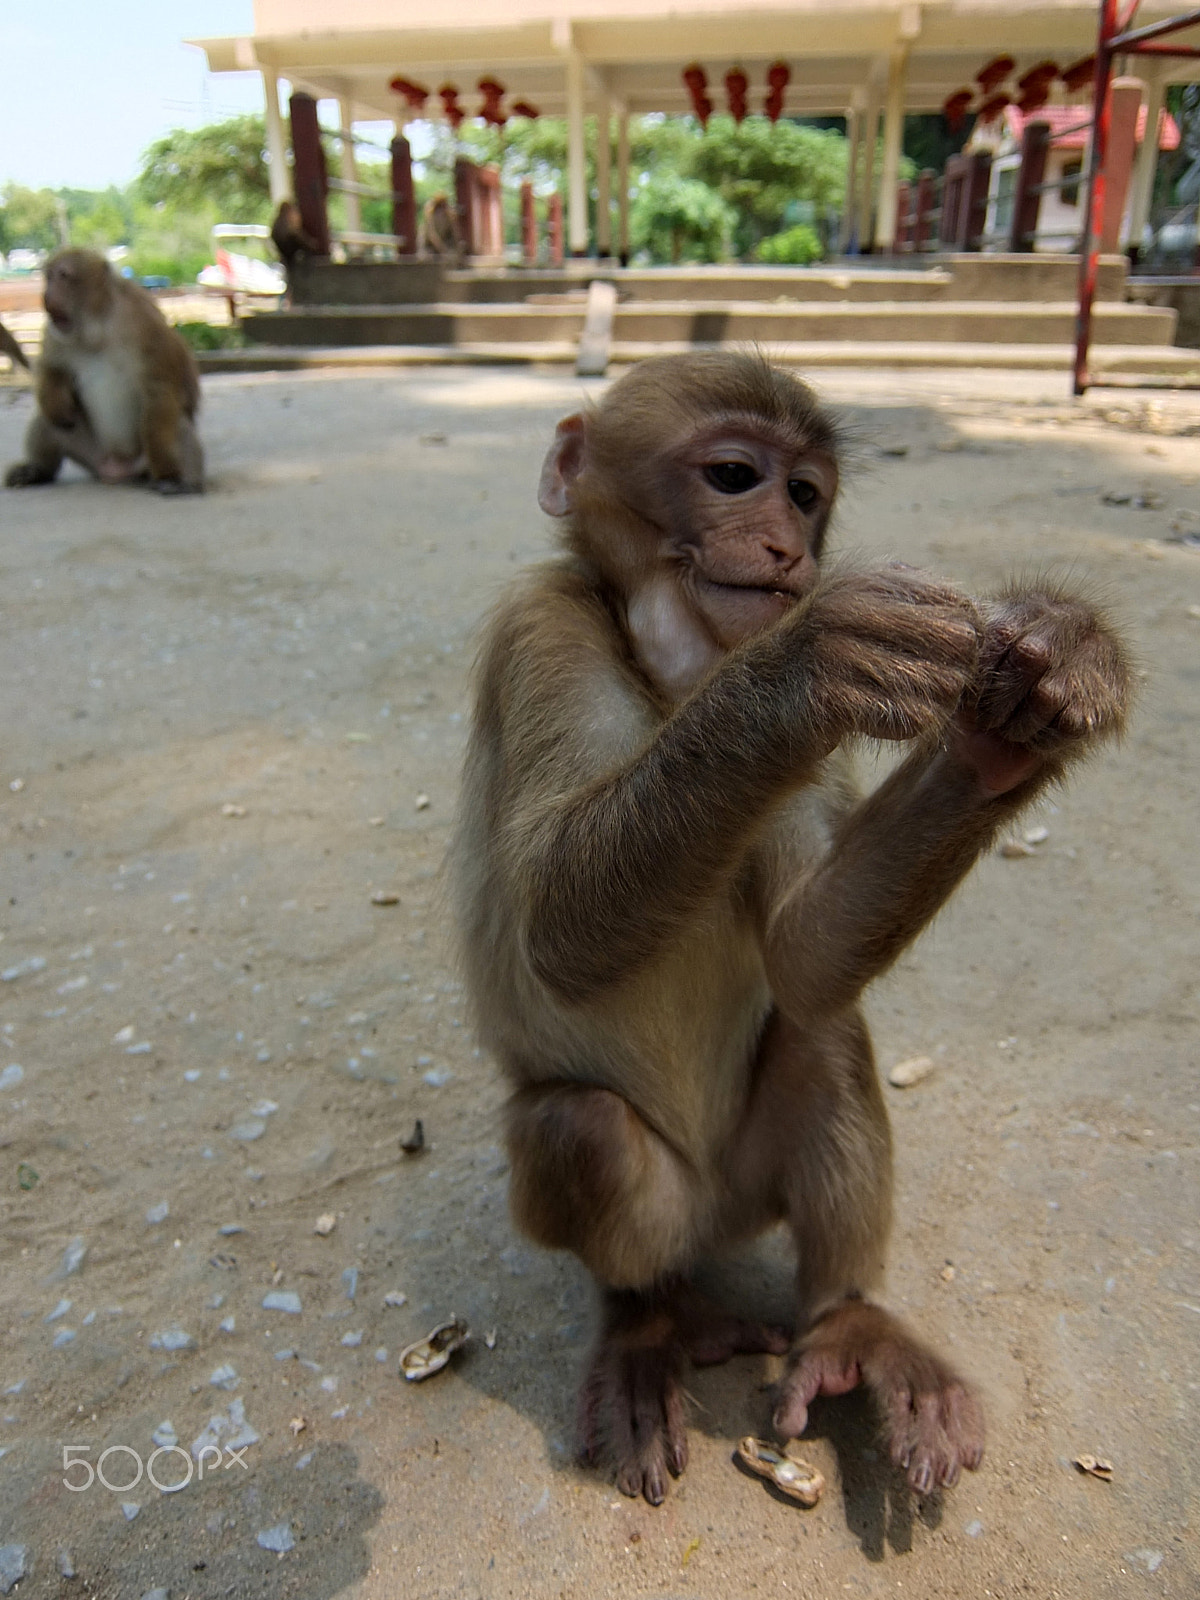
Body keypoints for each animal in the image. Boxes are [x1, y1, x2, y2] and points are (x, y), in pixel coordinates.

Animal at [5, 249, 204, 492]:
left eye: (63, 275)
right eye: (48, 277)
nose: (46, 295)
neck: (99, 327)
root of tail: (116, 471)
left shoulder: (144, 324)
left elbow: (159, 390)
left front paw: (167, 472)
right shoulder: (54, 333)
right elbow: (51, 368)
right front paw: (57, 403)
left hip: (141, 461)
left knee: (179, 425)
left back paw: (180, 480)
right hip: (92, 454)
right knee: (48, 420)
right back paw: (36, 471)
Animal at [448, 347, 1126, 1497]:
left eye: (806, 494)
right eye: (734, 476)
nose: (787, 548)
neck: (678, 675)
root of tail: (720, 1217)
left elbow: (810, 958)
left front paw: (1038, 684)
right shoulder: (541, 628)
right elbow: (549, 931)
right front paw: (809, 664)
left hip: (757, 1178)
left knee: (826, 1034)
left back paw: (851, 1325)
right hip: (671, 1209)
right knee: (578, 1129)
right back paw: (650, 1326)